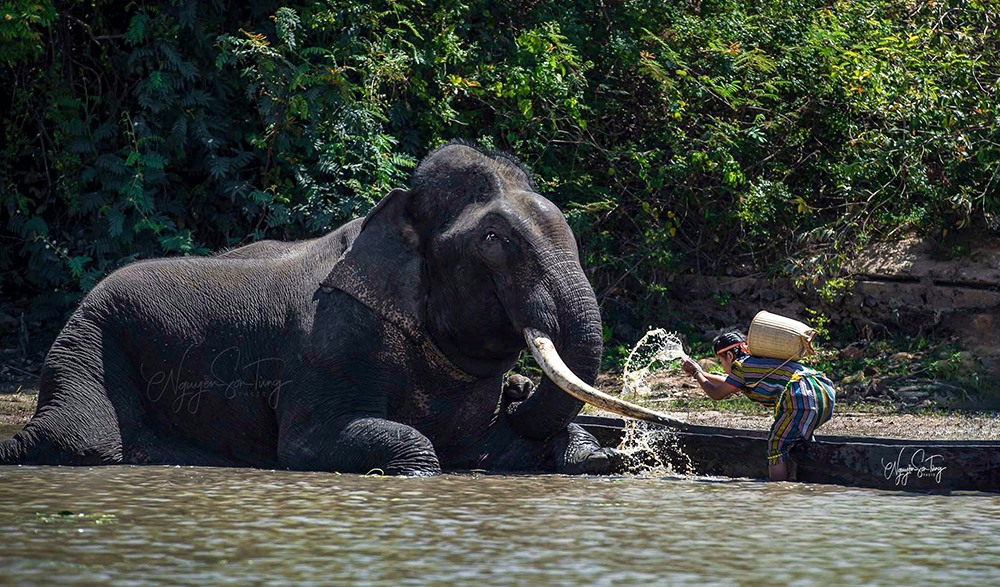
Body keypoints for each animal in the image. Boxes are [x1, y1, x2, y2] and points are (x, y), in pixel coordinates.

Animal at [1, 142, 680, 478]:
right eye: (494, 240)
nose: (518, 388)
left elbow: (493, 446)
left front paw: (592, 458)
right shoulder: (331, 342)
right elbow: (315, 446)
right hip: (89, 342)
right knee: (81, 443)